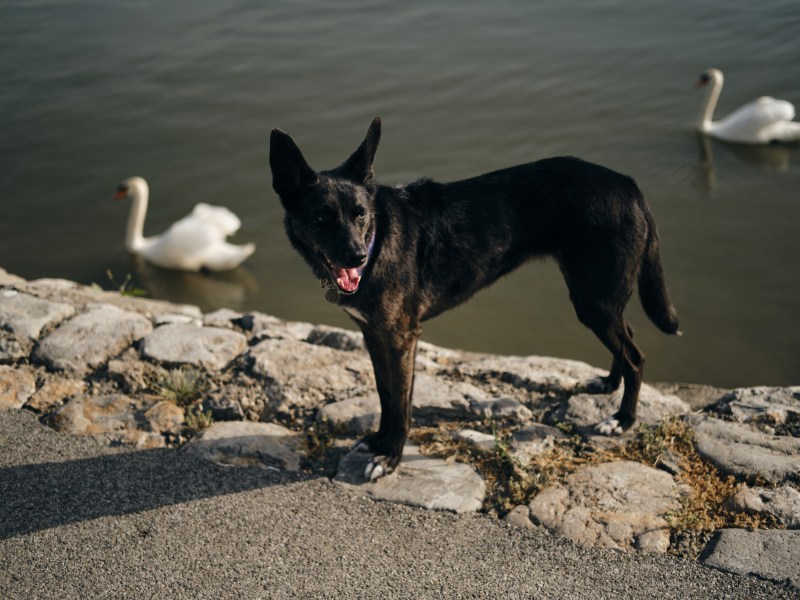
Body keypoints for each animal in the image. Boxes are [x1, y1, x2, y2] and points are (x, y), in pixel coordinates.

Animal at [270, 117, 680, 480]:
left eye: (361, 214)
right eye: (320, 217)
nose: (356, 257)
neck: (379, 238)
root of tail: (628, 185)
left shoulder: (401, 338)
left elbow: (401, 404)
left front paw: (390, 458)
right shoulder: (374, 334)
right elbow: (386, 395)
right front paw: (378, 442)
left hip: (593, 300)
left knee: (636, 357)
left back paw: (622, 420)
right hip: (598, 299)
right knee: (626, 339)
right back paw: (609, 384)